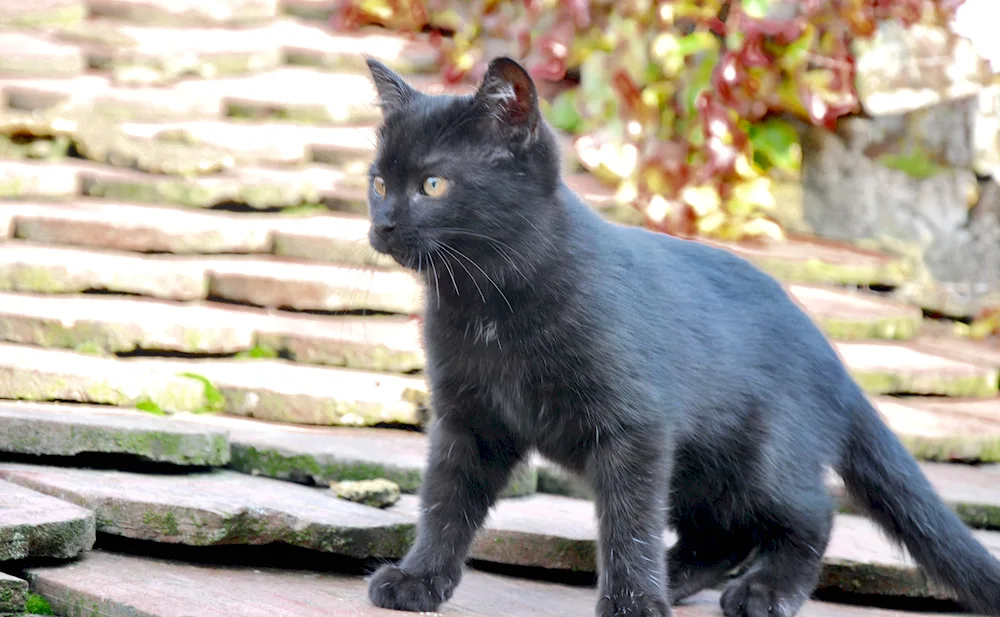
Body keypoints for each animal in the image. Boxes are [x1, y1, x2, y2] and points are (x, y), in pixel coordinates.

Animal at [364, 56, 1000, 616]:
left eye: (433, 184)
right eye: (378, 183)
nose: (383, 225)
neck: (488, 305)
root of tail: (833, 357)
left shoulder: (637, 428)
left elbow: (629, 520)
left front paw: (632, 604)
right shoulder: (469, 421)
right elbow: (446, 502)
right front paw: (419, 579)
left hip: (760, 455)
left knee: (812, 513)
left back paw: (764, 592)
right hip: (700, 469)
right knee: (722, 533)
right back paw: (674, 577)